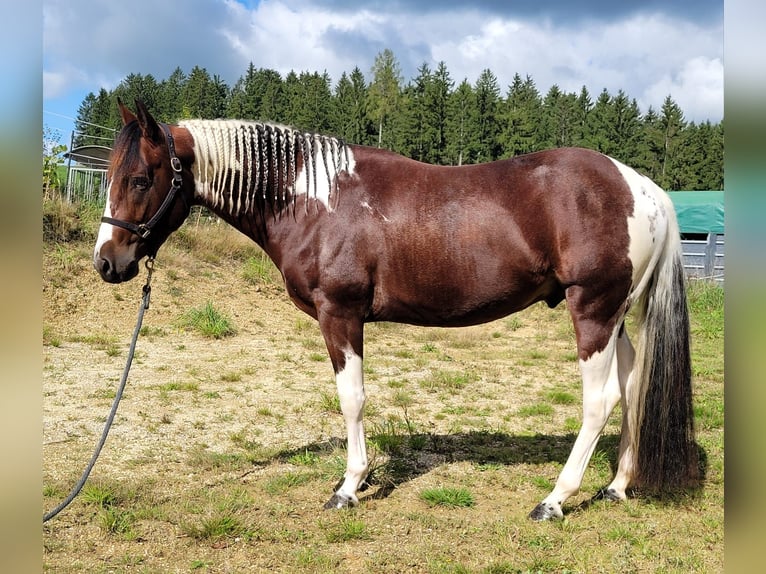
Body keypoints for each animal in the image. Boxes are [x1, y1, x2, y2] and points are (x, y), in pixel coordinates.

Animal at [93, 100, 700, 520]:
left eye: (141, 179)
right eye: (108, 175)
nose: (107, 262)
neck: (314, 197)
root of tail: (643, 188)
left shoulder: (340, 315)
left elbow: (352, 399)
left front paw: (349, 487)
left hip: (592, 309)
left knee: (600, 401)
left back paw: (555, 499)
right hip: (616, 313)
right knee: (633, 382)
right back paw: (617, 486)